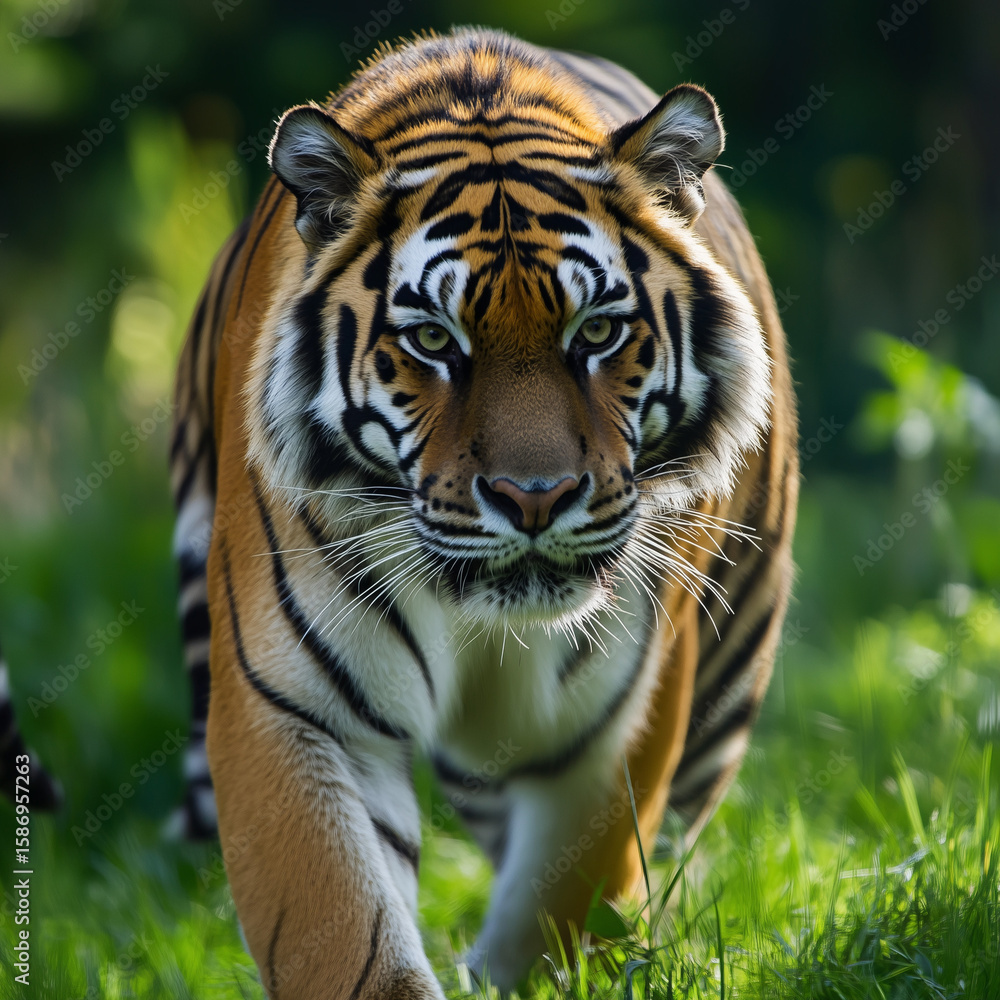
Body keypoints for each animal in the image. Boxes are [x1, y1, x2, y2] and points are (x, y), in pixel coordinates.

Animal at [169, 27, 798, 997]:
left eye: (596, 332)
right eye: (433, 341)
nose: (533, 498)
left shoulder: (613, 724)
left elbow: (562, 911)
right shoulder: (293, 710)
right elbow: (344, 937)